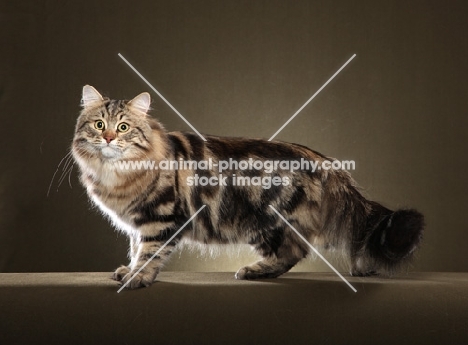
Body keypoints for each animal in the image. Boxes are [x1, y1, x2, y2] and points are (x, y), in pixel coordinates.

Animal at [72, 85, 424, 288]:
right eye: (99, 125)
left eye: (123, 127)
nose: (108, 138)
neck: (115, 173)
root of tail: (325, 162)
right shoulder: (137, 222)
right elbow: (135, 248)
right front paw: (128, 269)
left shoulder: (162, 217)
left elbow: (150, 251)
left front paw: (139, 276)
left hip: (262, 220)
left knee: (295, 250)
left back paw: (254, 271)